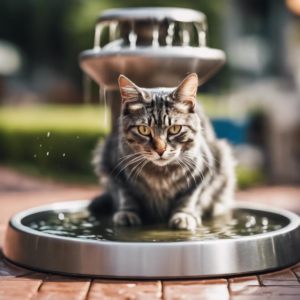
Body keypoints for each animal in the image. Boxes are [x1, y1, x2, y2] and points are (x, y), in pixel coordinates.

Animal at [91, 73, 237, 230]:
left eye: (175, 129)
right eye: (144, 129)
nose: (160, 149)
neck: (160, 175)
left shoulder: (203, 172)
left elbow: (189, 197)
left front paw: (184, 215)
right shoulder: (115, 169)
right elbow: (126, 195)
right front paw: (127, 213)